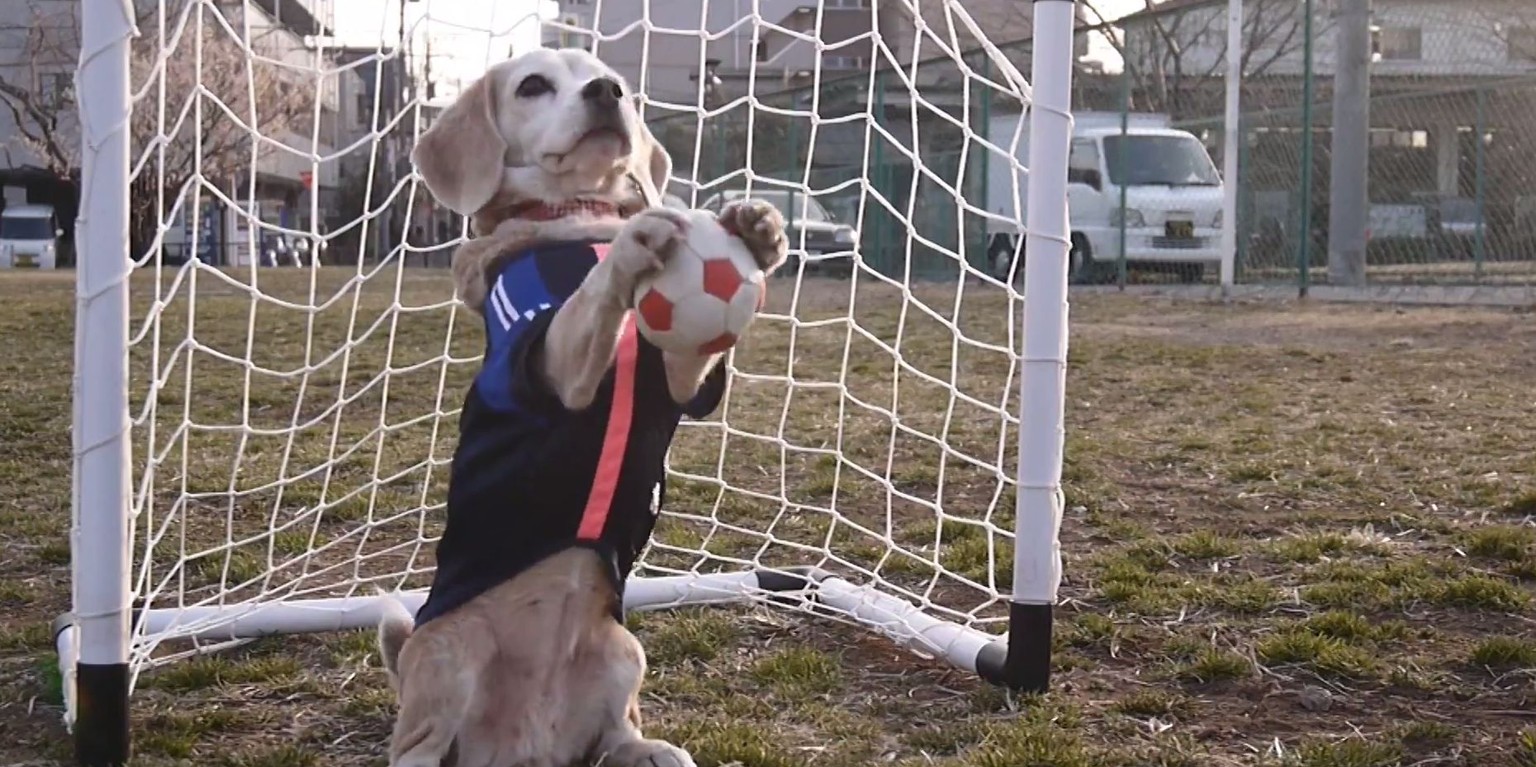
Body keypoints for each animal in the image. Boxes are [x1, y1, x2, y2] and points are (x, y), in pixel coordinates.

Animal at [368, 49, 780, 767]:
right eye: (532, 85)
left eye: (613, 79)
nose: (607, 92)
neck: (576, 215)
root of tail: (523, 747)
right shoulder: (554, 359)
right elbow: (593, 290)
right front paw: (630, 246)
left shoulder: (679, 370)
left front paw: (759, 234)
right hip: (450, 649)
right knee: (416, 745)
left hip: (623, 650)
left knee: (614, 734)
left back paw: (649, 749)